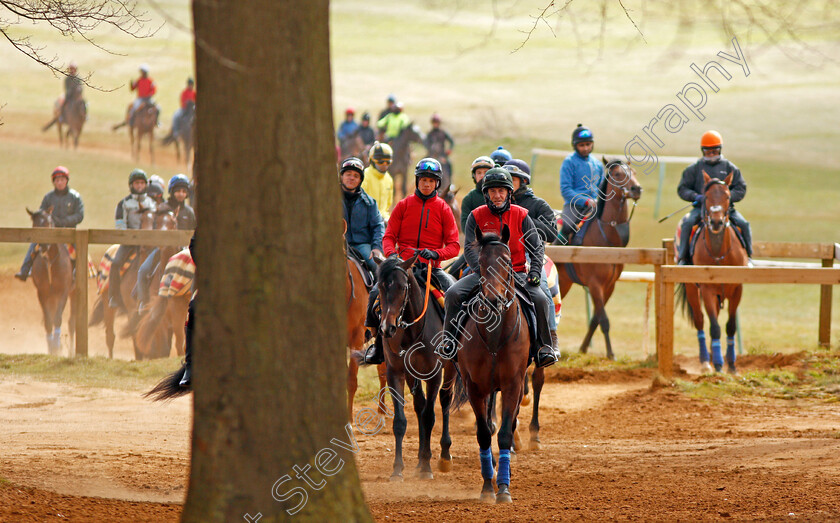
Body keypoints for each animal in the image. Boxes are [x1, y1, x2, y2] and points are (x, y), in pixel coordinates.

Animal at [25, 208, 75, 356]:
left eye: (48, 223)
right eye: (35, 224)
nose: (43, 245)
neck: (51, 261)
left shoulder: (63, 292)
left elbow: (58, 319)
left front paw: (57, 346)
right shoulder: (42, 293)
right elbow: (48, 321)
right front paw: (51, 347)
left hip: (73, 293)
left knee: (71, 322)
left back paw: (71, 351)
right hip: (51, 297)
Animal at [358, 256, 456, 482]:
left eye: (403, 288)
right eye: (380, 287)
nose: (387, 328)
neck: (413, 331)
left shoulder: (434, 375)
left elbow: (430, 416)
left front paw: (427, 467)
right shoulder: (395, 373)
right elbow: (401, 421)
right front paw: (397, 469)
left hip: (450, 370)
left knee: (445, 400)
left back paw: (444, 456)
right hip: (412, 375)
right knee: (420, 405)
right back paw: (420, 460)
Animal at [452, 228, 532, 504]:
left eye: (506, 262)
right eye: (481, 262)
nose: (494, 300)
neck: (496, 336)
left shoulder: (512, 385)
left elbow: (505, 433)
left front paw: (504, 489)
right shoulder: (474, 387)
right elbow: (484, 434)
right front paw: (488, 486)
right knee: (488, 424)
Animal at [556, 159, 644, 360]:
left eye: (634, 172)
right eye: (618, 174)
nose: (636, 189)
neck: (607, 242)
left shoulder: (610, 285)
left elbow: (596, 318)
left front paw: (583, 348)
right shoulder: (595, 284)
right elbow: (604, 319)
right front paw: (611, 354)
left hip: (564, 281)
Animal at [676, 174, 748, 374]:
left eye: (727, 196)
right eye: (706, 196)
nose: (716, 222)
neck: (718, 254)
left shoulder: (737, 289)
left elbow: (730, 326)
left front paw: (732, 365)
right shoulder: (707, 289)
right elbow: (714, 327)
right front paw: (717, 364)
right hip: (693, 290)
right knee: (701, 321)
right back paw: (705, 361)